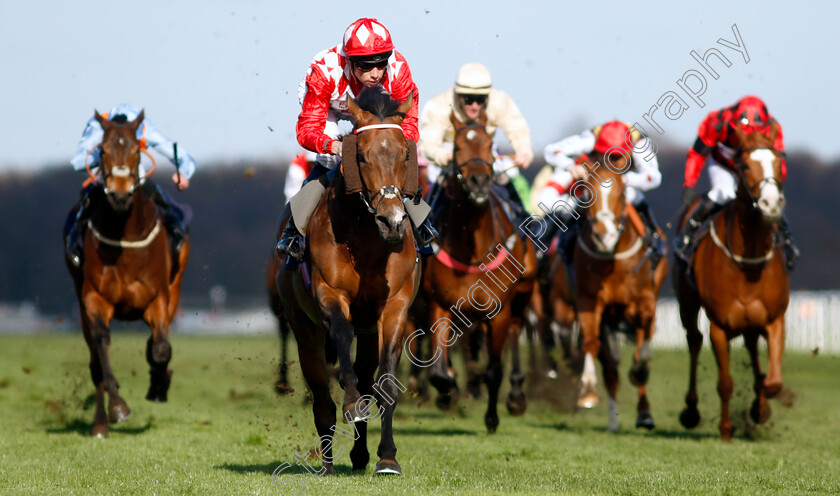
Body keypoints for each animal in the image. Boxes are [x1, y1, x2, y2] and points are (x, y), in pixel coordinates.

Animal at [63, 110, 189, 436]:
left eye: (136, 150)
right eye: (103, 150)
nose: (120, 194)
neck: (125, 239)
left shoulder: (158, 298)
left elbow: (160, 349)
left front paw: (159, 384)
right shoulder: (94, 298)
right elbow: (101, 342)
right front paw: (118, 406)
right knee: (95, 362)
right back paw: (100, 423)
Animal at [276, 87, 420, 474]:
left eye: (405, 154)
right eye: (362, 156)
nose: (392, 221)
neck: (367, 241)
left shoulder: (394, 307)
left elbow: (385, 386)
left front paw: (387, 457)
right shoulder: (330, 293)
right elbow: (342, 337)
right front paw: (352, 402)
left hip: (369, 332)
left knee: (367, 374)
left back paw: (359, 455)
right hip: (303, 328)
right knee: (322, 397)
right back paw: (326, 462)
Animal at [420, 110, 540, 432]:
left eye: (489, 144)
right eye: (457, 146)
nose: (479, 182)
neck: (471, 248)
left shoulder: (499, 312)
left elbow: (495, 370)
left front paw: (491, 417)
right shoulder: (440, 304)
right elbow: (438, 371)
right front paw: (448, 391)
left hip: (523, 294)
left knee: (517, 331)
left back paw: (517, 395)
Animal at [564, 151, 668, 430]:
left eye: (622, 194)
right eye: (587, 192)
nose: (605, 236)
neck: (612, 260)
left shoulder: (645, 303)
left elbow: (643, 353)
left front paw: (639, 373)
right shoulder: (589, 301)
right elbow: (591, 343)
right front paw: (588, 391)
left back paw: (644, 413)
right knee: (610, 369)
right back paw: (612, 421)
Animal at [672, 122, 792, 440]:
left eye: (778, 162)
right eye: (745, 165)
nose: (771, 203)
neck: (747, 262)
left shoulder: (774, 319)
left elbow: (771, 380)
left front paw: (761, 409)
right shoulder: (720, 326)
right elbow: (725, 383)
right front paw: (726, 429)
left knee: (751, 348)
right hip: (687, 304)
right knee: (694, 340)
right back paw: (691, 411)